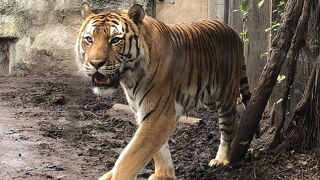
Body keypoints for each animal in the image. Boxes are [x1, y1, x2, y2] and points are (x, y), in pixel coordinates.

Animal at [76, 2, 251, 180]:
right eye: (89, 39)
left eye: (115, 40)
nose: (95, 63)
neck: (129, 78)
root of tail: (234, 31)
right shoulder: (143, 112)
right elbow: (158, 150)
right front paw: (163, 174)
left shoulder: (159, 114)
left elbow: (130, 158)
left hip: (225, 98)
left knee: (229, 129)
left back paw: (222, 159)